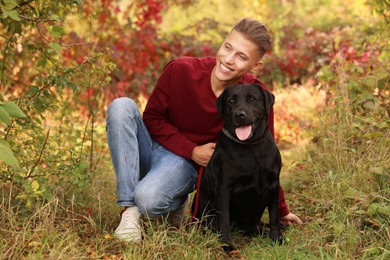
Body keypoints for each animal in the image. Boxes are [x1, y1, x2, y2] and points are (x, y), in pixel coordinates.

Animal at [193, 83, 282, 252]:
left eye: (252, 99)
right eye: (231, 101)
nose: (240, 114)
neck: (250, 146)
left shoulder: (274, 183)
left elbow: (274, 215)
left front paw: (277, 238)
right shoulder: (224, 188)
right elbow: (224, 219)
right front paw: (226, 244)